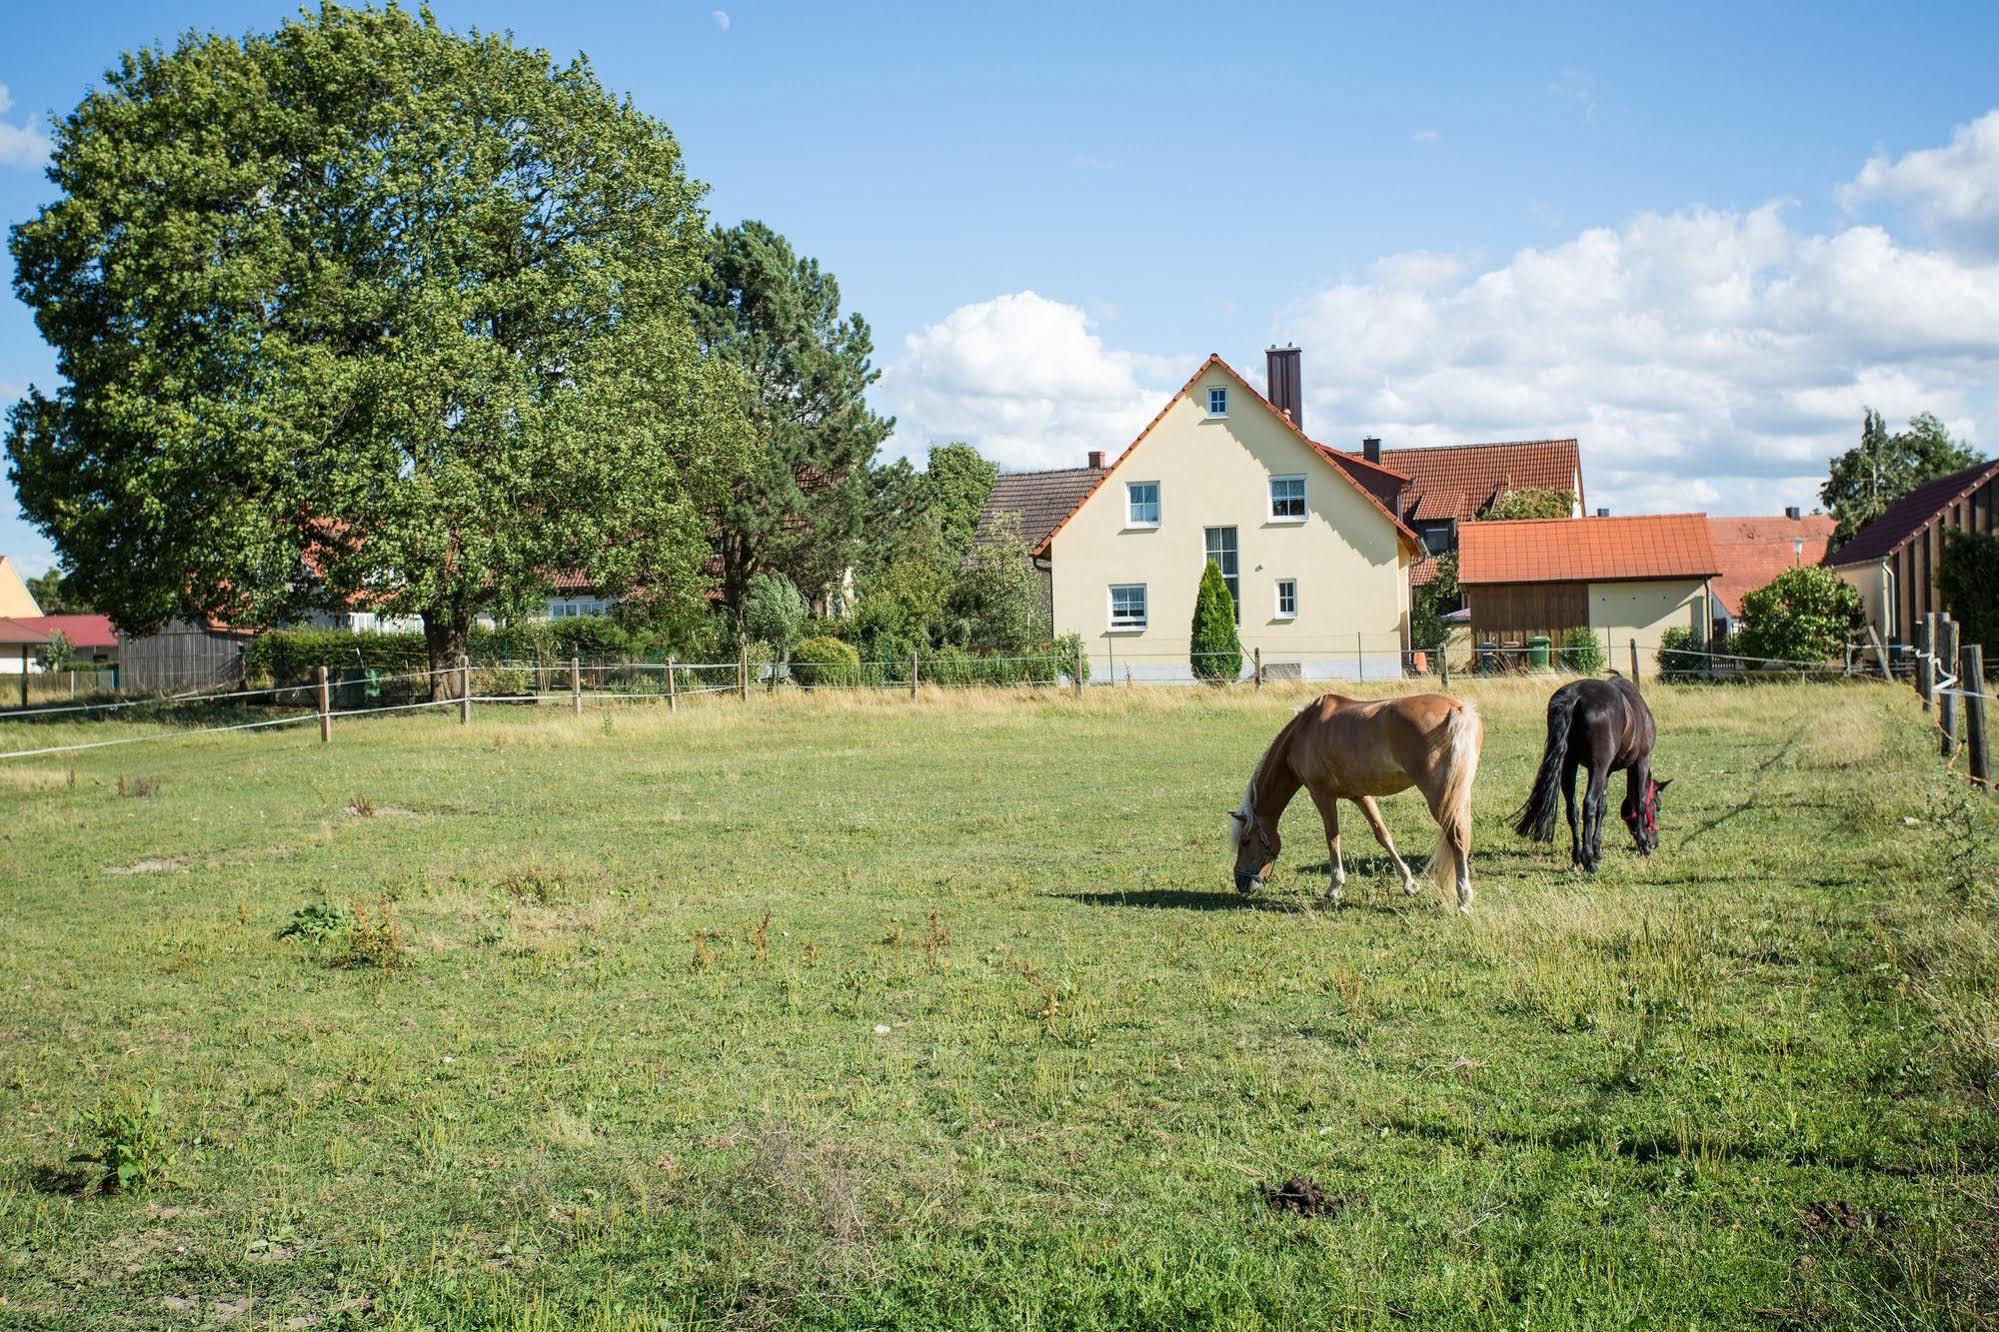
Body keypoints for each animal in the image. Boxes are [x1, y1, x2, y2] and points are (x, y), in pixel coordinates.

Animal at [1215, 688, 1487, 908]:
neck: (1304, 731)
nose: (1240, 882)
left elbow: (1332, 838)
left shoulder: (1322, 795)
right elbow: (1382, 835)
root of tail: (1457, 710)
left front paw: (1335, 887)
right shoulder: (1360, 795)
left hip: (1439, 798)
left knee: (1457, 837)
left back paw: (1464, 899)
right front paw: (1409, 883)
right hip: (1457, 796)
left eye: (1245, 842)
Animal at [1511, 676, 1671, 872]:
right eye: (1658, 806)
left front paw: (1597, 849)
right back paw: (1588, 860)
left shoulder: (1607, 771)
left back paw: (1577, 857)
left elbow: (1602, 807)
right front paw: (1642, 844)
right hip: (1597, 767)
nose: (1655, 842)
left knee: (1572, 809)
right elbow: (1639, 802)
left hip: (1569, 764)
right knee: (1588, 804)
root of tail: (1576, 696)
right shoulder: (1640, 760)